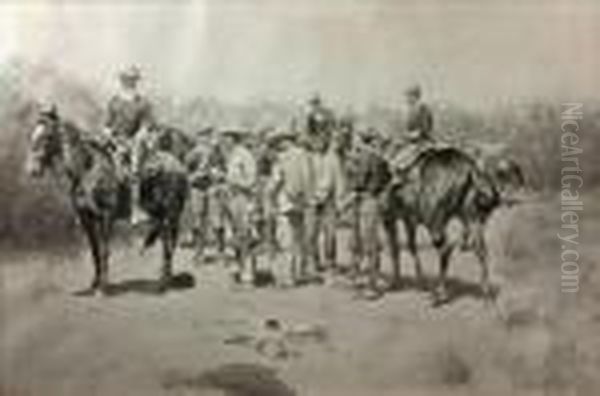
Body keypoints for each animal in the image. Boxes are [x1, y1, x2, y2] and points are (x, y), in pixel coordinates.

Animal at [25, 106, 188, 296]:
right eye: (33, 135)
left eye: (47, 136)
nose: (32, 170)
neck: (87, 169)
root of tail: (179, 166)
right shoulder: (88, 219)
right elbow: (94, 251)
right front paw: (94, 283)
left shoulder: (106, 216)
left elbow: (104, 250)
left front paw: (103, 287)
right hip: (160, 216)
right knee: (165, 242)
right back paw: (163, 278)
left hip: (172, 214)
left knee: (171, 243)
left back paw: (165, 283)